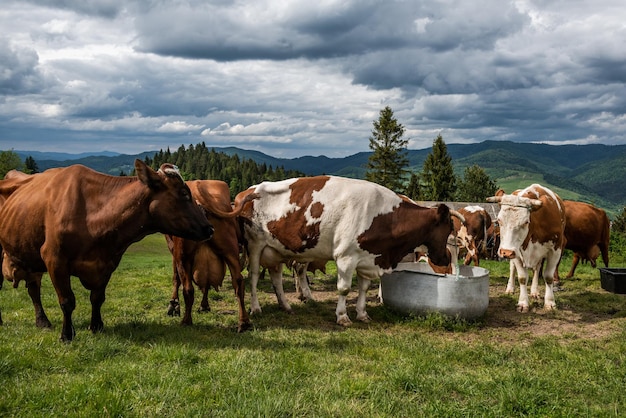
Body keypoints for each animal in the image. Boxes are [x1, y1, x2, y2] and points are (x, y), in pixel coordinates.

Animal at [0, 160, 213, 340]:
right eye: (184, 194)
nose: (210, 228)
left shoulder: (108, 263)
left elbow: (97, 298)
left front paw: (96, 326)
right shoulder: (54, 258)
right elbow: (67, 301)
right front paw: (67, 335)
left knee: (33, 288)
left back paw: (42, 321)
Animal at [165, 180, 258, 334]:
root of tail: (198, 187)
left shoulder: (173, 249)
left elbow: (175, 278)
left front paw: (174, 305)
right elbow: (206, 283)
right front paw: (204, 305)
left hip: (183, 256)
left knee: (188, 289)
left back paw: (186, 321)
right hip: (230, 251)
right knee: (238, 282)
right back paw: (244, 322)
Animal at [234, 175, 458, 324]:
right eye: (447, 228)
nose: (444, 260)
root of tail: (247, 191)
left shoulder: (369, 258)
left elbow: (363, 288)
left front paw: (362, 314)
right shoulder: (346, 257)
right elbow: (344, 288)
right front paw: (342, 317)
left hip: (277, 250)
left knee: (276, 278)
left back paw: (286, 306)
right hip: (255, 246)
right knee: (253, 276)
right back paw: (256, 308)